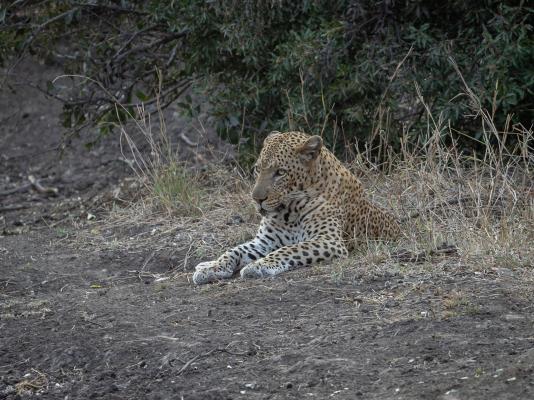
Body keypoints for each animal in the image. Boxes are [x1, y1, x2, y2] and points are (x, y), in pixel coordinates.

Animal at [193, 131, 402, 284]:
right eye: (258, 169)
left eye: (280, 172)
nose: (256, 199)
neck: (288, 212)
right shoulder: (264, 242)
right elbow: (234, 251)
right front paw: (213, 268)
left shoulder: (329, 241)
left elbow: (289, 249)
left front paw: (258, 266)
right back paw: (204, 264)